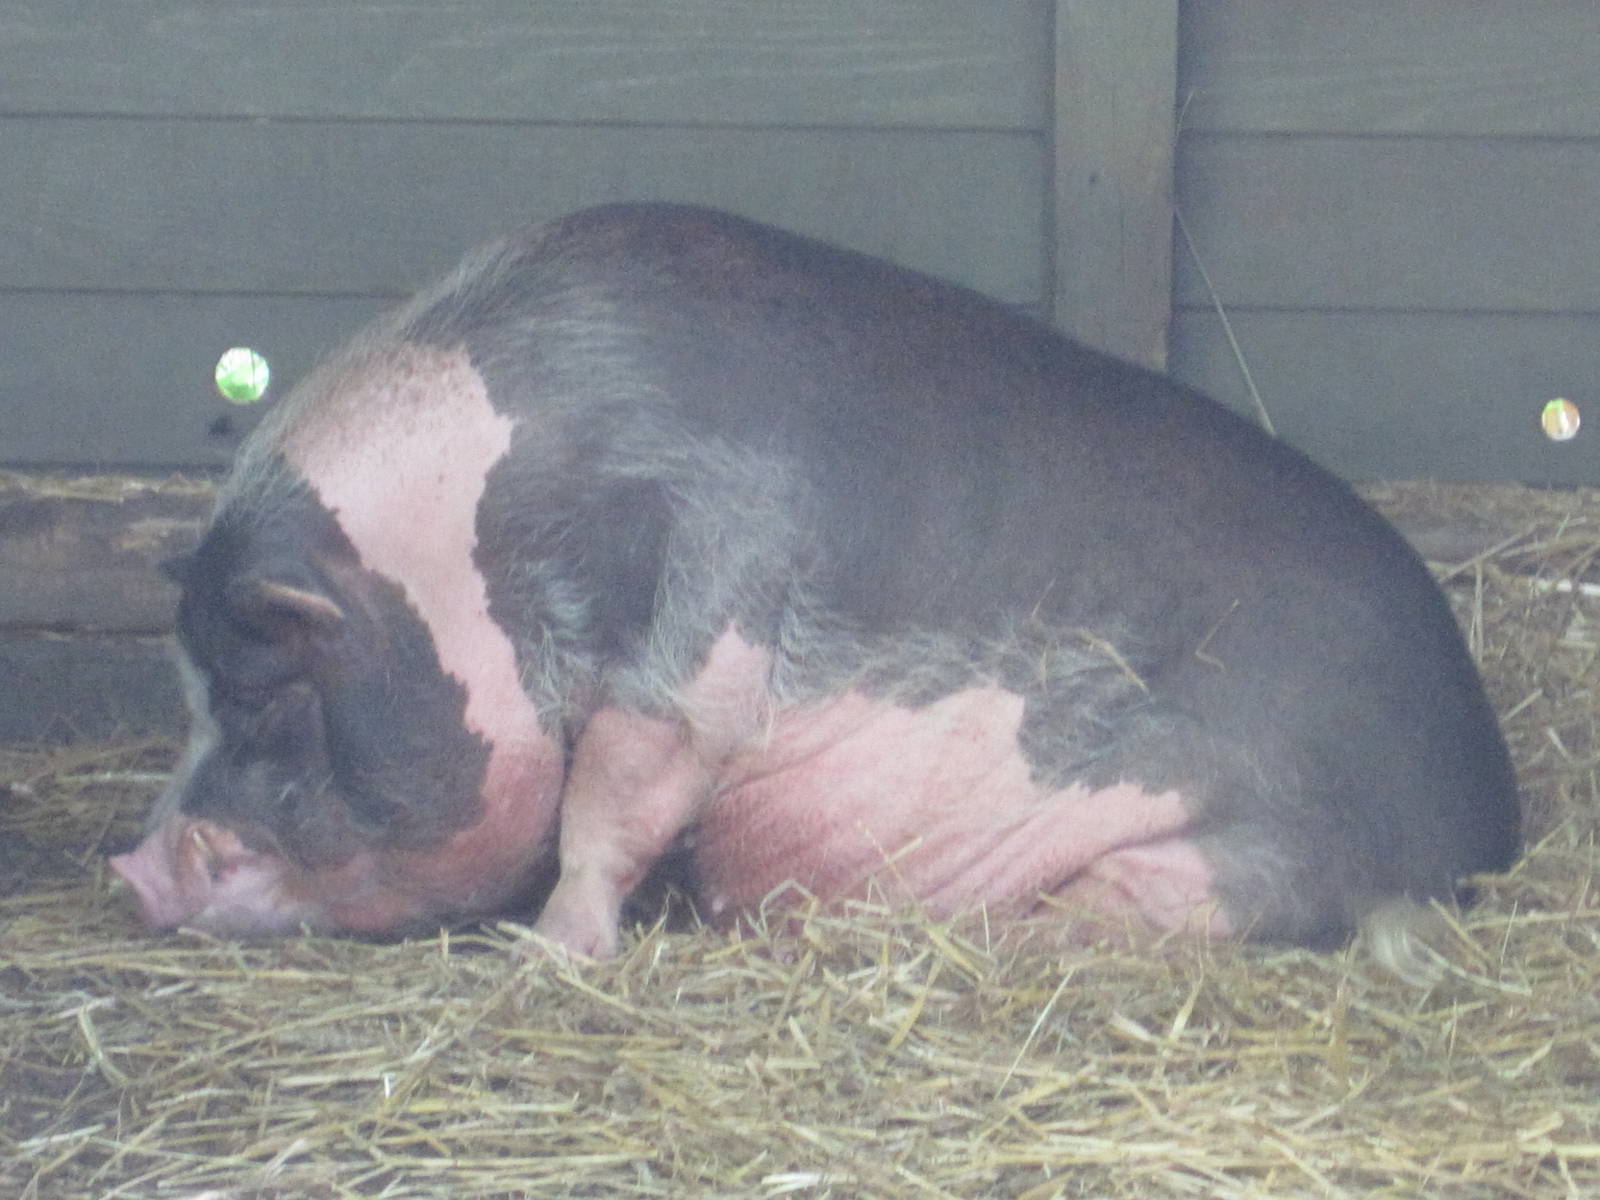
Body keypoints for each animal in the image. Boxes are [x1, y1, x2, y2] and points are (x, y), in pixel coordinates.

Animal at [110, 203, 1520, 957]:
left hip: (1256, 843)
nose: (130, 870)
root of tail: (1493, 806)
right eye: (190, 694)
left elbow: (611, 805)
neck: (480, 549)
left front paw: (550, 955)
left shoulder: (704, 626)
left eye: (268, 693)